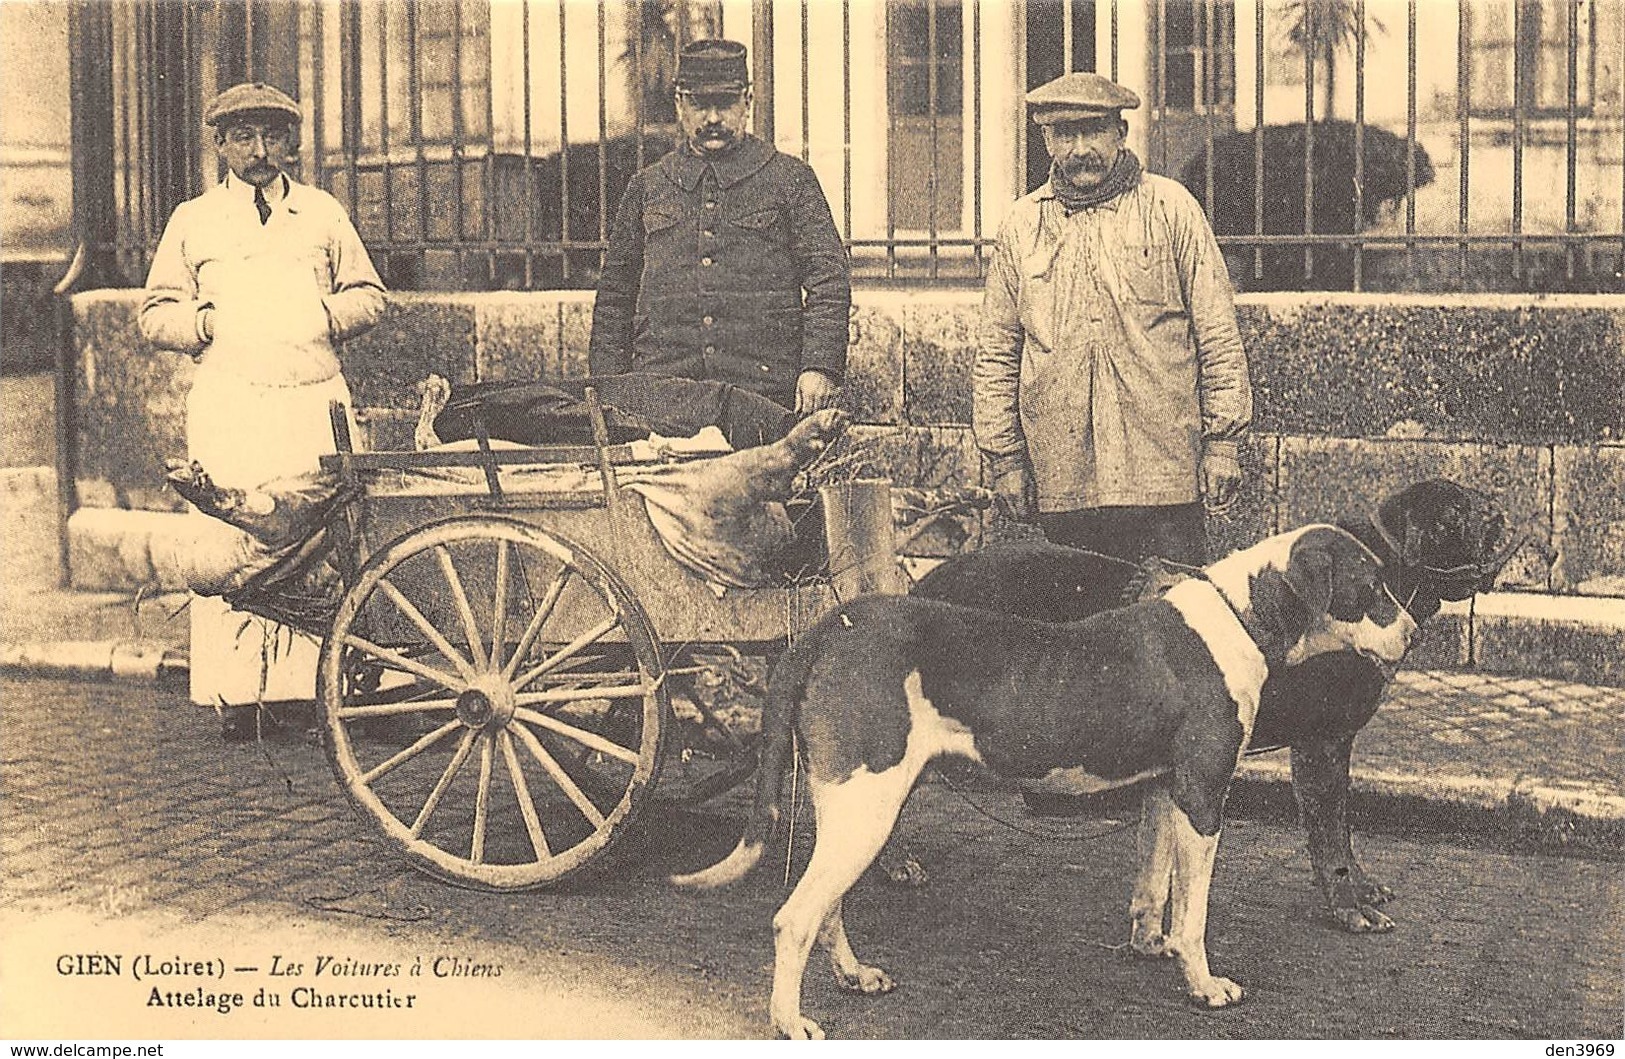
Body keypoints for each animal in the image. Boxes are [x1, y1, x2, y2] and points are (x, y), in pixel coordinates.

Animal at [669, 526, 1410, 1039]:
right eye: (1372, 588)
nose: (1409, 633)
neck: (1237, 613)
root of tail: (830, 627)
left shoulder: (1164, 789)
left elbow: (1154, 883)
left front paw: (1152, 946)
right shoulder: (1203, 795)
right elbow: (1193, 911)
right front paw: (1202, 984)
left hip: (850, 807)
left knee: (826, 906)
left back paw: (854, 975)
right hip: (868, 805)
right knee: (794, 916)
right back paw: (789, 1022)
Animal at [916, 474, 1508, 929]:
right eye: (1455, 512)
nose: (1499, 512)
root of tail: (923, 586)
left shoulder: (1335, 745)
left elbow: (1341, 827)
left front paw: (1362, 889)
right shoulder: (1321, 744)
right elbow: (1329, 837)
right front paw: (1347, 906)